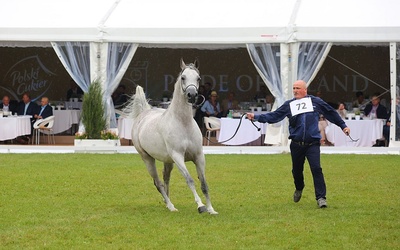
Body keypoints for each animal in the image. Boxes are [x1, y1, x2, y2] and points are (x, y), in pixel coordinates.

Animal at [126, 59, 217, 215]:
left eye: (198, 78)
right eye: (183, 77)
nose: (192, 95)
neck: (183, 123)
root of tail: (143, 114)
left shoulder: (199, 156)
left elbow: (204, 183)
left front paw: (211, 209)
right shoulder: (178, 156)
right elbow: (190, 180)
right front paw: (201, 206)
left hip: (167, 161)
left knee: (165, 178)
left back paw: (166, 202)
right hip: (148, 159)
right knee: (158, 183)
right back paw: (170, 206)